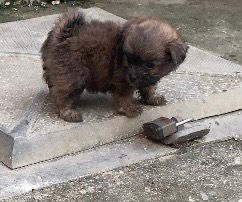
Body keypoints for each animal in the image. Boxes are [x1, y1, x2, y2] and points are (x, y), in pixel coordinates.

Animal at [41, 11, 189, 122]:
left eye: (149, 65)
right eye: (128, 58)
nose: (132, 77)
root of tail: (62, 35)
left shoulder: (146, 78)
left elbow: (148, 87)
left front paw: (152, 98)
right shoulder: (122, 81)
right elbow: (124, 96)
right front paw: (129, 108)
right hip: (73, 75)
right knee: (63, 95)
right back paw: (68, 112)